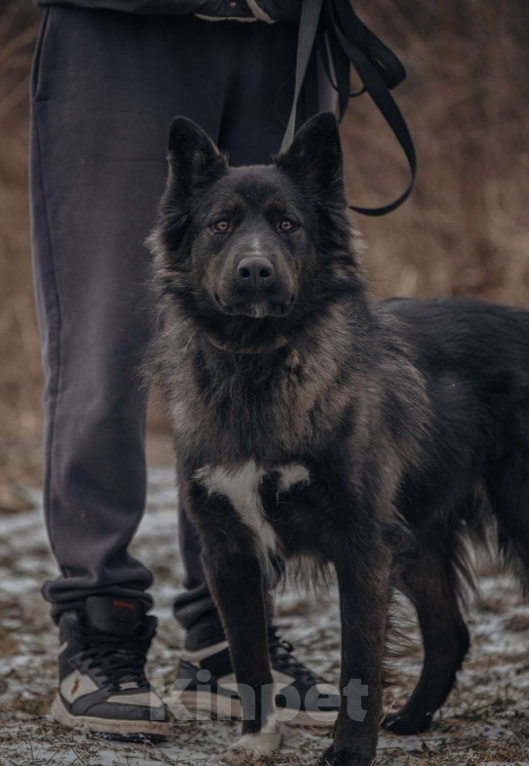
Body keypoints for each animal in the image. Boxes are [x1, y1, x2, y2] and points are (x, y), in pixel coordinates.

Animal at [146, 114, 528, 766]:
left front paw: (349, 752)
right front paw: (258, 737)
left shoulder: (362, 543)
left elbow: (360, 662)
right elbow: (248, 657)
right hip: (419, 538)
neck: (258, 364)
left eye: (288, 224)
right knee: (449, 634)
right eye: (220, 225)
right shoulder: (228, 551)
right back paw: (413, 718)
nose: (255, 271)